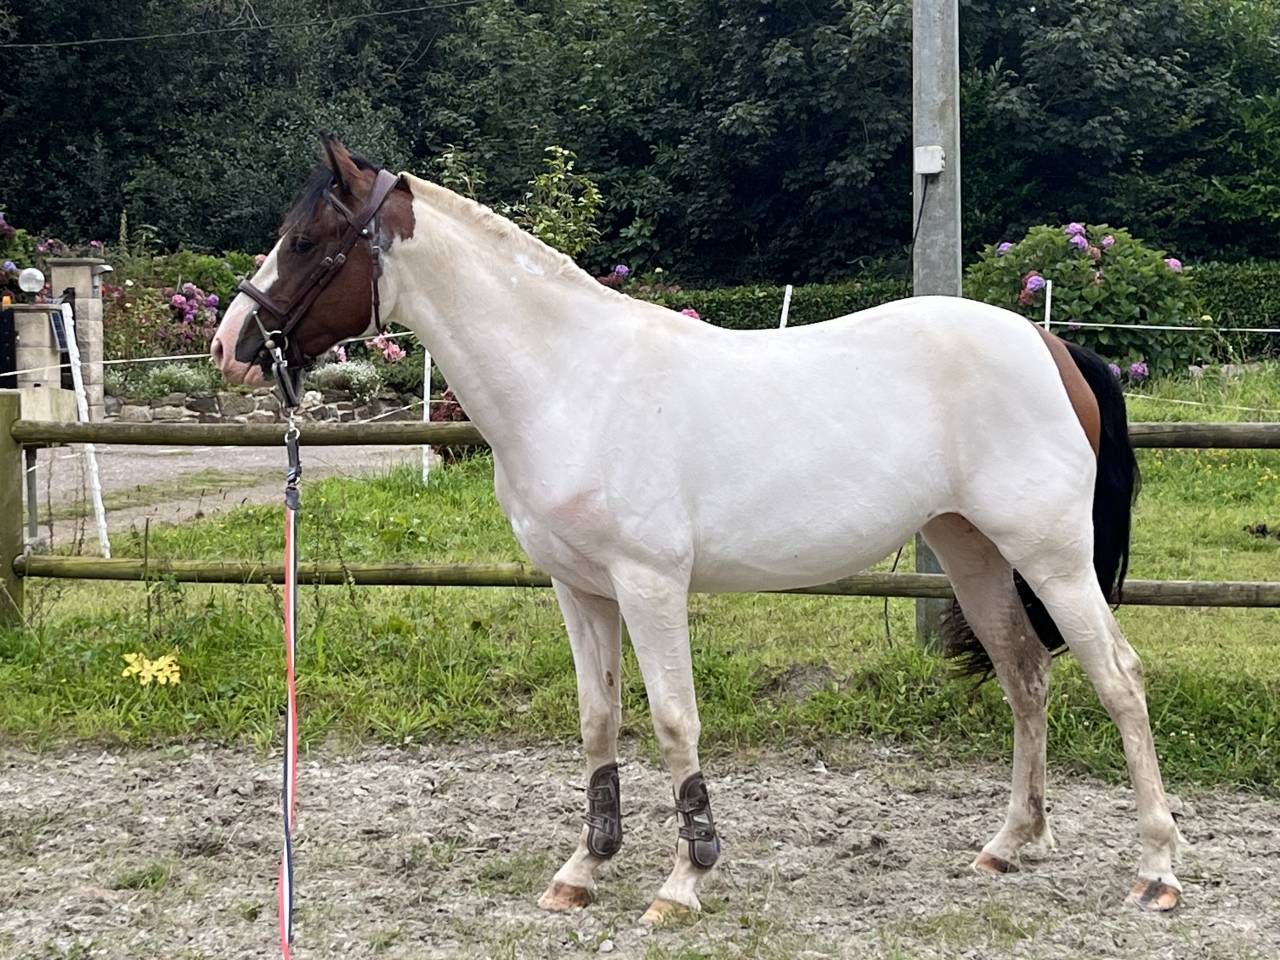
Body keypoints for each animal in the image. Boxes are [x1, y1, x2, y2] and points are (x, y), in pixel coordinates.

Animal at [211, 135, 1183, 922]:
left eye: (306, 242)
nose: (231, 345)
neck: (571, 380)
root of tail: (1049, 344)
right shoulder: (580, 589)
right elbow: (599, 722)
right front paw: (582, 870)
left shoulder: (648, 585)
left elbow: (675, 721)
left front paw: (684, 881)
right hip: (970, 551)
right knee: (1025, 675)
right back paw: (1010, 844)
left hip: (1051, 556)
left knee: (1120, 679)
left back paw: (1158, 870)